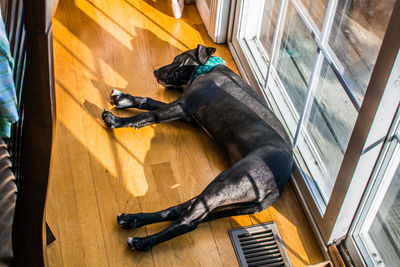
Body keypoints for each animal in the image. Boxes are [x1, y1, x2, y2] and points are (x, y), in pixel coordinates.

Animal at [101, 45, 292, 252]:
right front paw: (124, 99)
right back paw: (133, 219)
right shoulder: (186, 113)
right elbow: (148, 101)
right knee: (178, 210)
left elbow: (146, 116)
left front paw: (117, 120)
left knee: (188, 222)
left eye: (178, 59)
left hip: (229, 181)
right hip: (226, 189)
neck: (207, 68)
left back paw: (143, 241)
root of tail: (280, 185)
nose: (155, 71)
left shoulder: (183, 106)